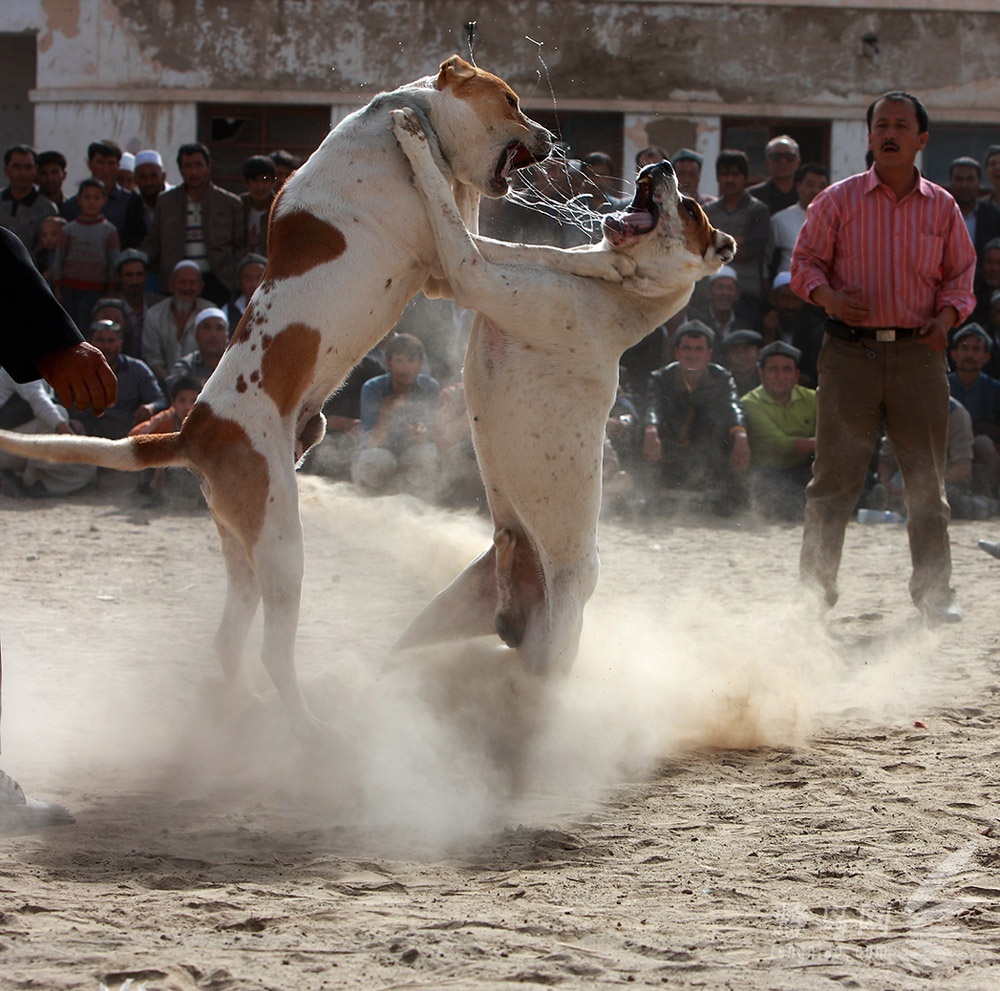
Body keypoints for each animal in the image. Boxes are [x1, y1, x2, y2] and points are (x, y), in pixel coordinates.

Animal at [0, 54, 628, 736]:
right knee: (273, 653)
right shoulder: (447, 261)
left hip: (245, 552)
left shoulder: (450, 258)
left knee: (228, 643)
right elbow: (487, 225)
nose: (550, 138)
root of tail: (193, 431)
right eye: (511, 101)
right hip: (283, 549)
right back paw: (307, 729)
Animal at [390, 110, 736, 676]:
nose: (661, 164)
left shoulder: (471, 274)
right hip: (434, 621)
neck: (621, 293)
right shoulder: (472, 269)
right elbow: (487, 233)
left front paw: (413, 137)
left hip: (552, 648)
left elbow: (447, 211)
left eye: (689, 208)